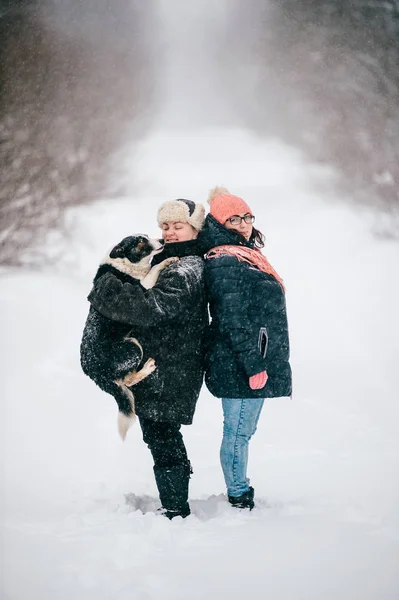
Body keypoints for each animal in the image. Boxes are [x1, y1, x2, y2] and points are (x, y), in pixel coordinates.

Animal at [80, 236, 177, 440]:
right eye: (140, 241)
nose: (162, 239)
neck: (126, 264)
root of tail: (92, 371)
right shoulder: (142, 289)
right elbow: (154, 269)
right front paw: (168, 260)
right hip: (133, 347)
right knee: (128, 380)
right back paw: (147, 368)